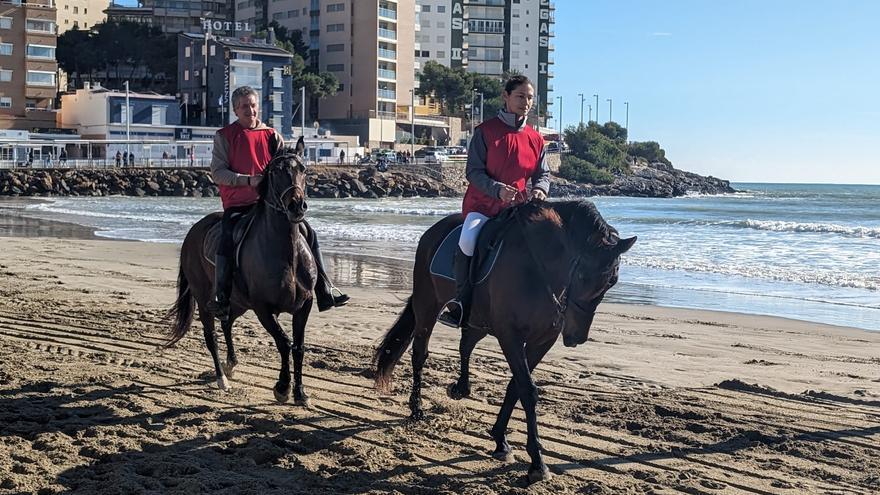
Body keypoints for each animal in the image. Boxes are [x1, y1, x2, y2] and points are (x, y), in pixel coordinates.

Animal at [165, 138, 316, 404]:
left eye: (303, 169)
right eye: (275, 171)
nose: (296, 206)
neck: (287, 255)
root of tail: (193, 232)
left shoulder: (303, 306)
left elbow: (298, 347)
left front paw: (300, 393)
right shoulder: (263, 308)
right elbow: (283, 342)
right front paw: (282, 387)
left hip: (236, 302)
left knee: (226, 323)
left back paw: (231, 365)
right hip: (205, 299)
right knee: (211, 337)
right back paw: (221, 379)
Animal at [374, 201, 636, 484]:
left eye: (612, 281)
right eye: (582, 275)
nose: (576, 337)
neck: (538, 269)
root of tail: (433, 231)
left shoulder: (542, 341)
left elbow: (515, 387)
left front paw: (501, 440)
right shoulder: (510, 337)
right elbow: (528, 390)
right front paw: (537, 462)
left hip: (478, 321)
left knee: (466, 344)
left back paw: (460, 388)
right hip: (427, 306)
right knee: (420, 354)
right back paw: (417, 408)